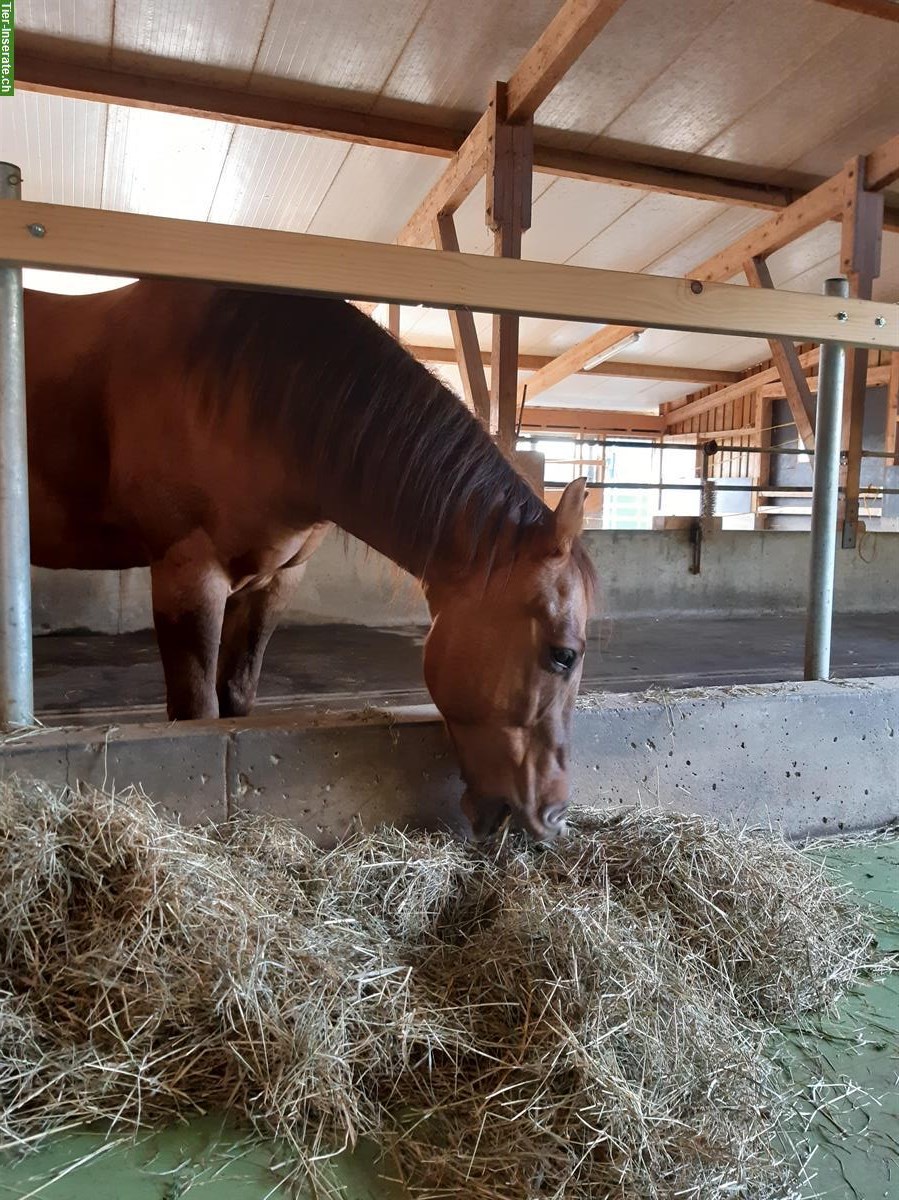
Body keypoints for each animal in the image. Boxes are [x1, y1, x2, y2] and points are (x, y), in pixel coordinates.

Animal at [24, 280, 592, 840]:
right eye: (564, 654)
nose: (555, 819)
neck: (239, 394)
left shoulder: (275, 581)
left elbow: (236, 700)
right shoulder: (188, 577)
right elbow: (197, 713)